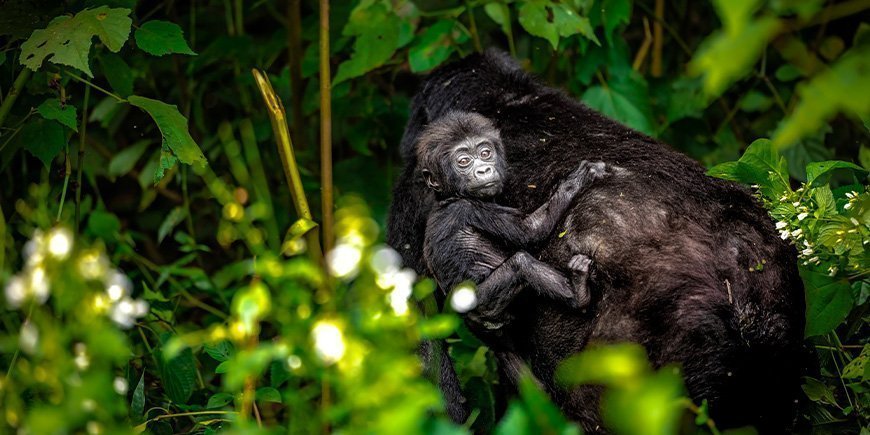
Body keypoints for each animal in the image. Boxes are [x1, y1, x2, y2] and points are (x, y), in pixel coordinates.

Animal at [420, 110, 608, 326]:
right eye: (464, 161)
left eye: (485, 153)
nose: (484, 170)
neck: (450, 196)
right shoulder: (469, 208)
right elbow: (529, 231)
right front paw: (579, 178)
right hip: (484, 302)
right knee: (520, 263)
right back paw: (579, 293)